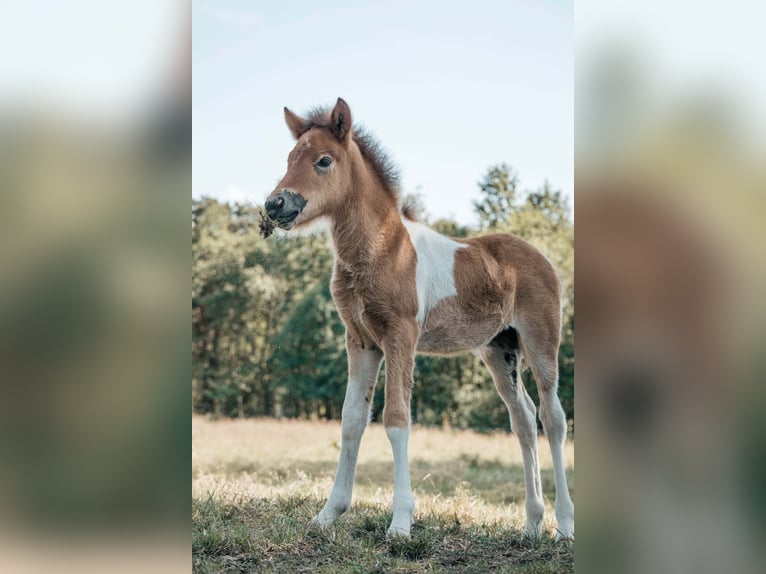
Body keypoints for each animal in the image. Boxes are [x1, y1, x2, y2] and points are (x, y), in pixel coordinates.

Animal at [264, 98, 574, 539]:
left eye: (323, 160)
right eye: (290, 158)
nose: (275, 205)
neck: (382, 249)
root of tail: (543, 257)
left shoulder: (400, 336)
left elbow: (396, 419)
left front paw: (400, 522)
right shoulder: (360, 340)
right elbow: (351, 420)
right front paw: (328, 514)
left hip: (541, 342)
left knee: (553, 418)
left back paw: (564, 525)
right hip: (499, 350)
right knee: (524, 419)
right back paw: (531, 523)